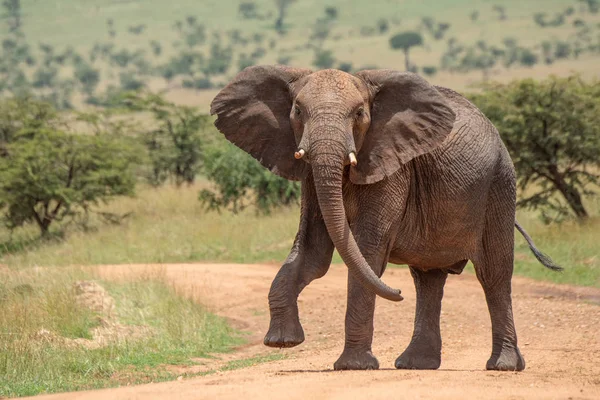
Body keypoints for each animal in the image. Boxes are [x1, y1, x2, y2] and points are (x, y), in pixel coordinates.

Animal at [209, 65, 560, 372]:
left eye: (359, 114)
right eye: (297, 111)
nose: (397, 292)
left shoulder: (391, 168)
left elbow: (365, 252)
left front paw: (352, 367)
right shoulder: (310, 174)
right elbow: (312, 253)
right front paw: (282, 342)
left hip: (499, 186)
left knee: (494, 275)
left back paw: (503, 366)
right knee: (429, 279)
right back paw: (416, 364)